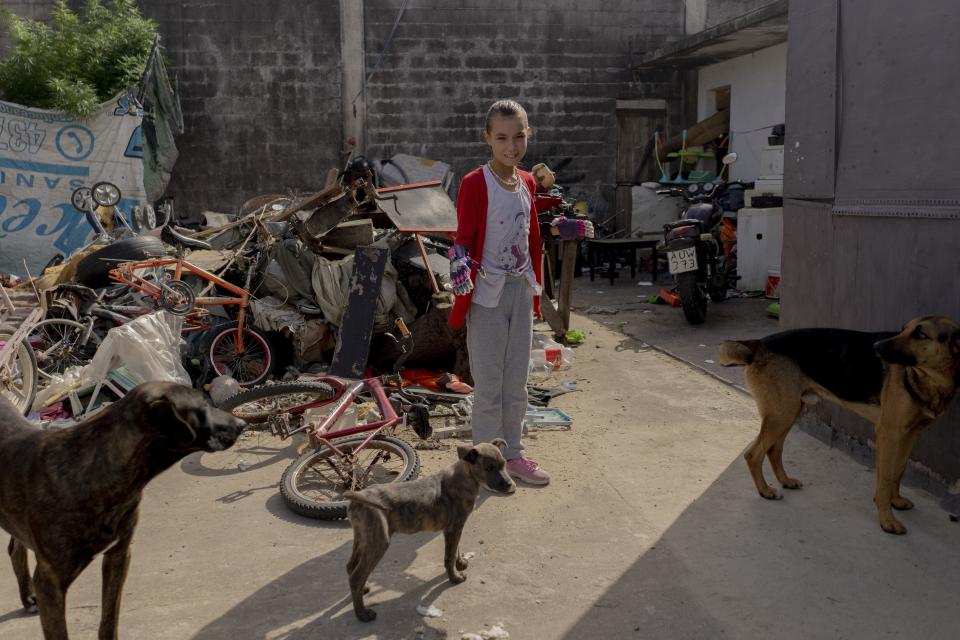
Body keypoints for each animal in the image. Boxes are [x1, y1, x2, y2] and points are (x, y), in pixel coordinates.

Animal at [0, 382, 248, 636]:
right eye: (202, 407)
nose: (242, 424)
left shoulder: (118, 555)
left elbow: (109, 619)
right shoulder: (50, 583)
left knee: (15, 548)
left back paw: (28, 597)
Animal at [342, 438, 512, 624]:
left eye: (504, 464)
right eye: (489, 468)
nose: (510, 485)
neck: (465, 478)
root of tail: (357, 498)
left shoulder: (456, 527)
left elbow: (456, 549)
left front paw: (460, 563)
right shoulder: (453, 528)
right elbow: (448, 557)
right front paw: (455, 577)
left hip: (362, 537)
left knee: (351, 566)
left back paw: (363, 589)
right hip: (379, 541)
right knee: (356, 576)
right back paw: (362, 613)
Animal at [720, 316, 960, 536]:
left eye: (920, 334)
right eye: (903, 330)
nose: (876, 347)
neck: (932, 379)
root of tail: (759, 343)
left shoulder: (911, 434)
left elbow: (898, 471)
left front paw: (897, 501)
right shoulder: (889, 433)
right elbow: (885, 477)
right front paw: (887, 520)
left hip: (790, 412)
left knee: (774, 449)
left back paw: (785, 481)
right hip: (782, 413)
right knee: (753, 454)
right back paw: (765, 491)